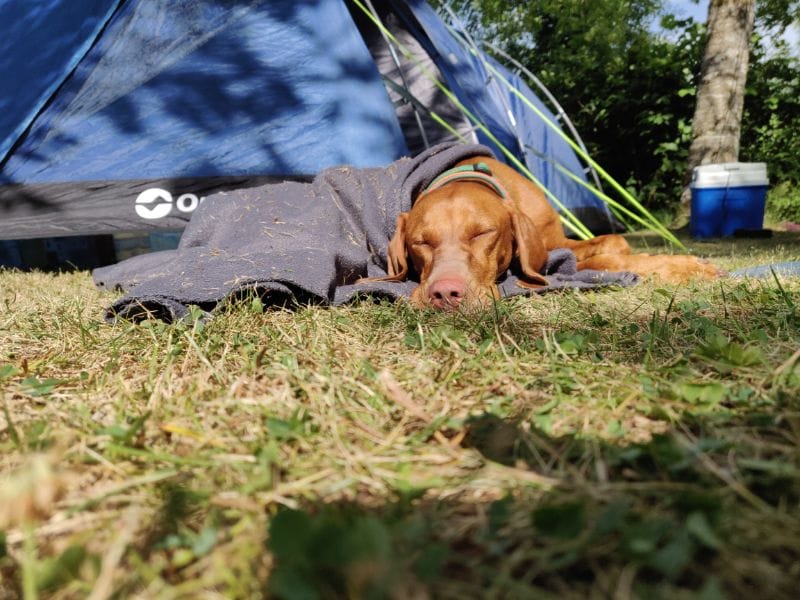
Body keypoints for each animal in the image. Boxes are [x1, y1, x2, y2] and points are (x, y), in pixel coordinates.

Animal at [374, 155, 720, 310]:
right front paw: (683, 267)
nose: (445, 294)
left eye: (482, 233)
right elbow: (606, 261)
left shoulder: (553, 242)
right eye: (420, 242)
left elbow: (614, 241)